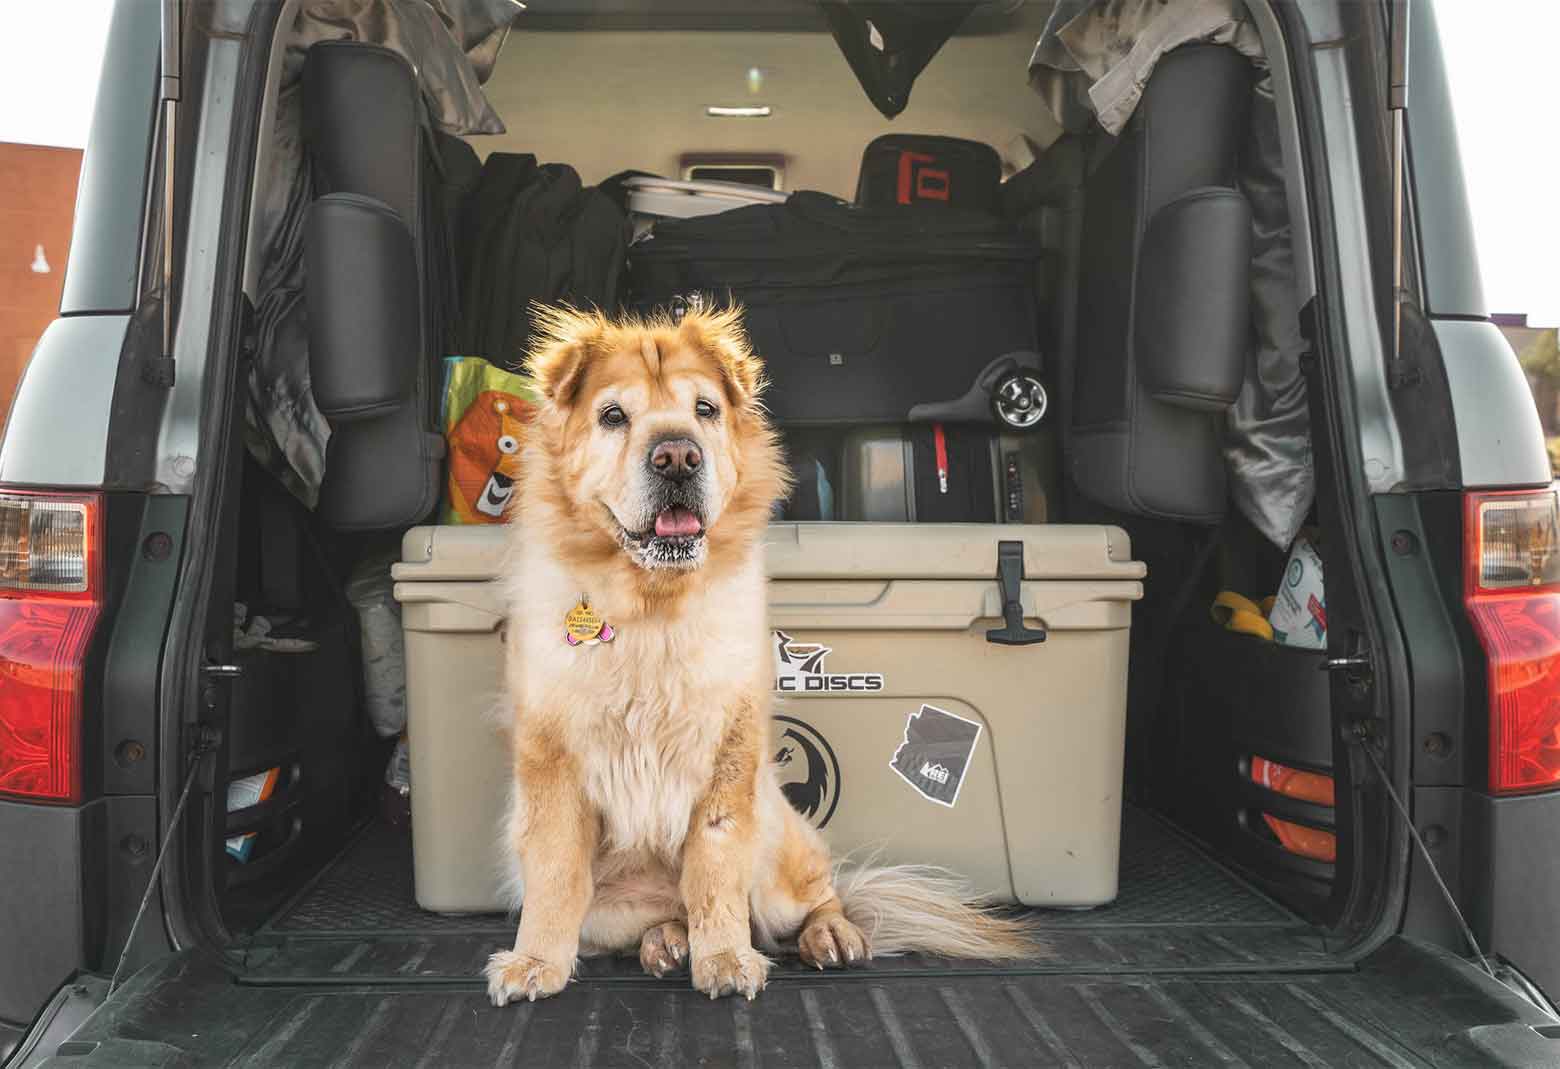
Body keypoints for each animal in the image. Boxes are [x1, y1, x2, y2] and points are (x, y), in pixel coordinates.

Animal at [480, 305, 1029, 998]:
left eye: (705, 410)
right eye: (613, 416)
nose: (677, 455)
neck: (652, 607)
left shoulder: (728, 759)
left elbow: (715, 873)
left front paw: (725, 960)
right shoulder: (551, 762)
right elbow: (554, 875)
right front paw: (534, 965)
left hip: (778, 839)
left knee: (817, 897)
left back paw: (830, 937)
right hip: (612, 905)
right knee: (656, 915)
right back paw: (666, 942)